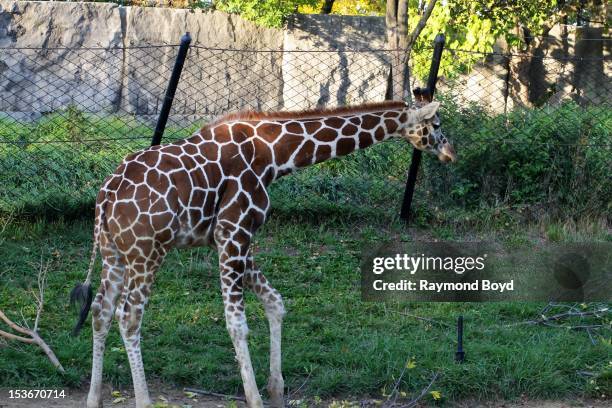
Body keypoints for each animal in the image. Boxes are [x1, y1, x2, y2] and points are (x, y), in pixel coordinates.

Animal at [70, 93, 454, 408]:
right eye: (436, 124)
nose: (450, 152)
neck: (273, 155)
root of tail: (106, 196)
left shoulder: (234, 238)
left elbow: (275, 302)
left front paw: (276, 389)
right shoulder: (233, 232)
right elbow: (237, 323)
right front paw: (254, 397)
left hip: (114, 255)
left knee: (101, 311)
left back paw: (93, 398)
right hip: (147, 252)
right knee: (129, 316)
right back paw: (145, 400)